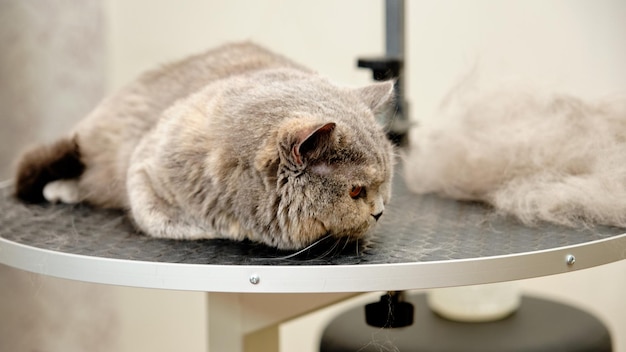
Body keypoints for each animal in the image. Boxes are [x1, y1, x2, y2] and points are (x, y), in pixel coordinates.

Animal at [14, 42, 392, 250]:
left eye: (385, 183)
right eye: (356, 191)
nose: (379, 212)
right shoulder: (145, 168)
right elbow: (160, 217)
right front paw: (227, 230)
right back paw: (61, 188)